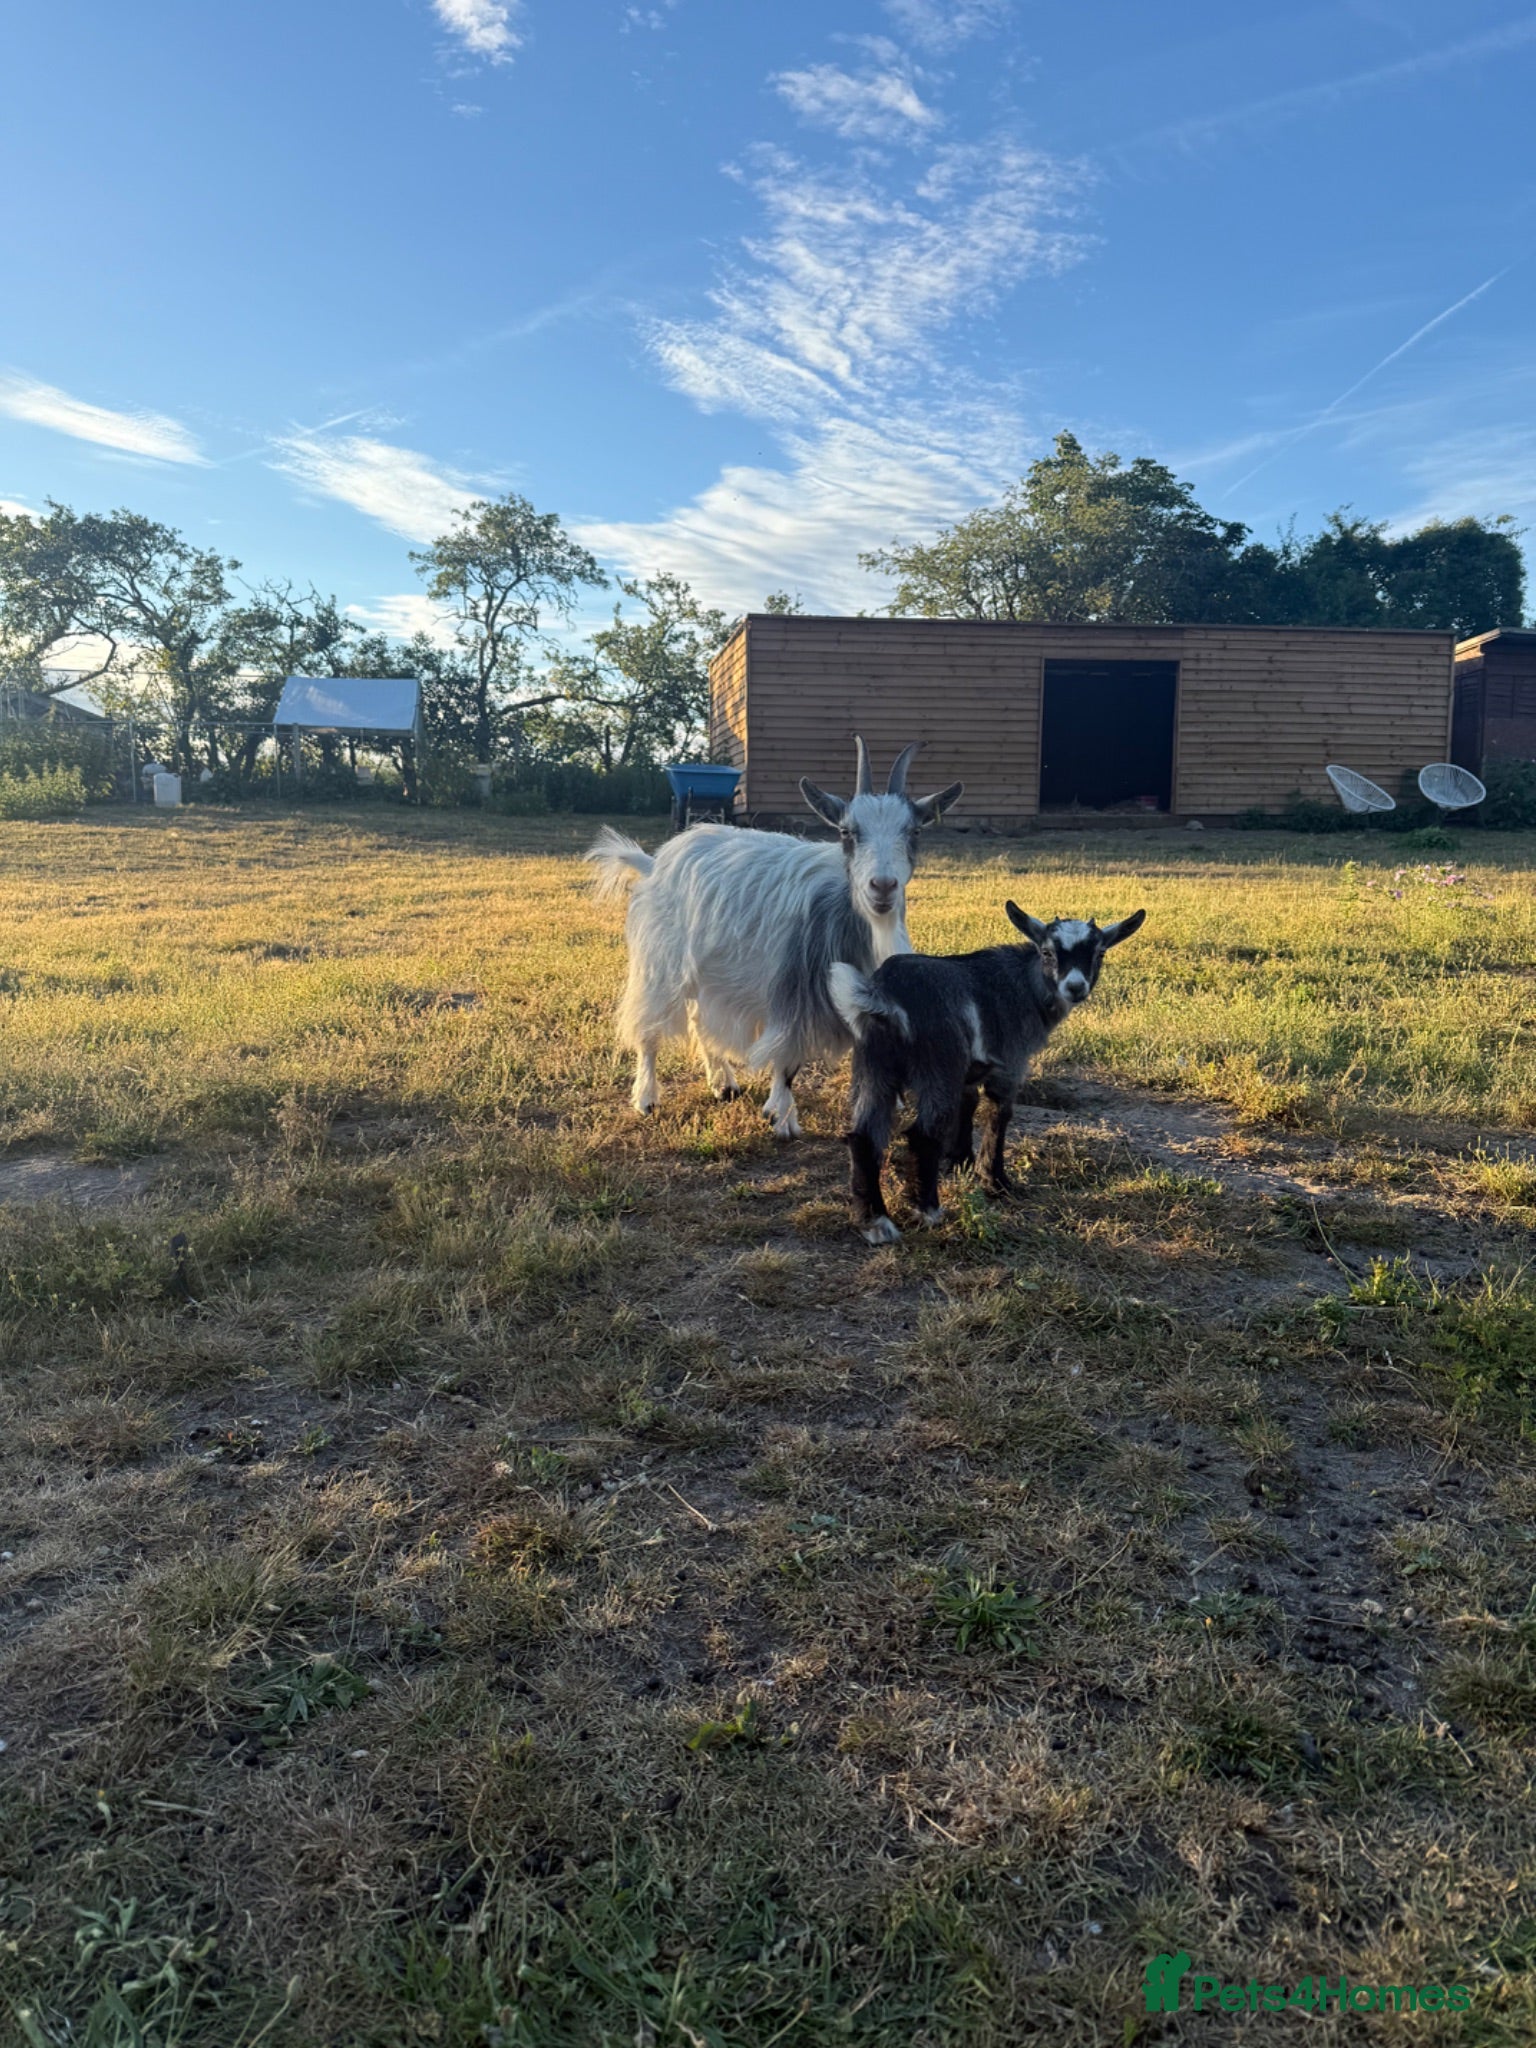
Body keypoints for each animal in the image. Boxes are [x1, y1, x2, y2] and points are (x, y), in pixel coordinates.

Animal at [587, 739, 963, 1136]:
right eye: (847, 832)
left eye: (915, 832)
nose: (883, 886)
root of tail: (654, 863)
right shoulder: (793, 990)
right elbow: (787, 1057)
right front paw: (781, 1117)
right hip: (660, 962)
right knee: (649, 1027)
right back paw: (647, 1097)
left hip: (711, 972)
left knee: (700, 1019)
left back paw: (723, 1082)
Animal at [829, 902, 1146, 1241]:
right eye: (1047, 952)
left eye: (1100, 953)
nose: (1075, 987)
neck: (1025, 985)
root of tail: (885, 995)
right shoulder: (1010, 1064)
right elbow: (999, 1114)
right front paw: (996, 1182)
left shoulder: (969, 1072)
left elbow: (967, 1104)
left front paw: (961, 1161)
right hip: (939, 1066)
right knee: (923, 1134)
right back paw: (928, 1210)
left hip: (874, 1066)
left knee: (863, 1136)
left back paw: (874, 1221)